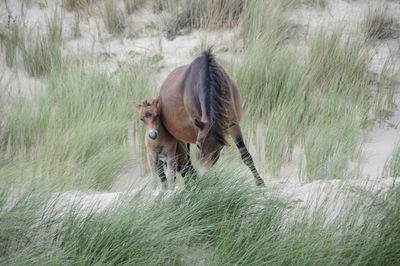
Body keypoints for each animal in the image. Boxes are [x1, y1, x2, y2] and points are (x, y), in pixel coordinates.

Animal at [159, 48, 266, 186]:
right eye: (198, 145)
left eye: (219, 148)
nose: (202, 174)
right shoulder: (198, 128)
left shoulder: (233, 125)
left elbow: (245, 155)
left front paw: (260, 183)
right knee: (184, 164)